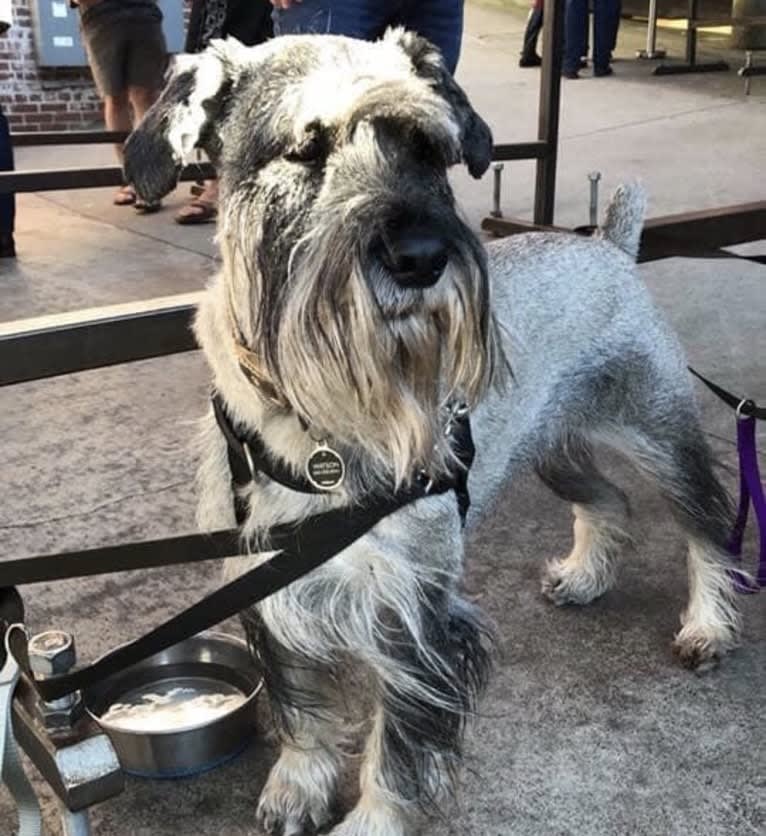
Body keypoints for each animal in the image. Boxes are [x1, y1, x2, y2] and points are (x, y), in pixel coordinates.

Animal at [126, 29, 744, 832]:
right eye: (303, 148)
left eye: (428, 150)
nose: (421, 257)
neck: (317, 431)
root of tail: (610, 244)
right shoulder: (266, 588)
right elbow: (301, 705)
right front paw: (298, 784)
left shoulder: (415, 617)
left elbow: (399, 743)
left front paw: (370, 820)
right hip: (552, 447)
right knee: (607, 501)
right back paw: (583, 576)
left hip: (660, 434)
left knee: (707, 524)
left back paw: (708, 626)